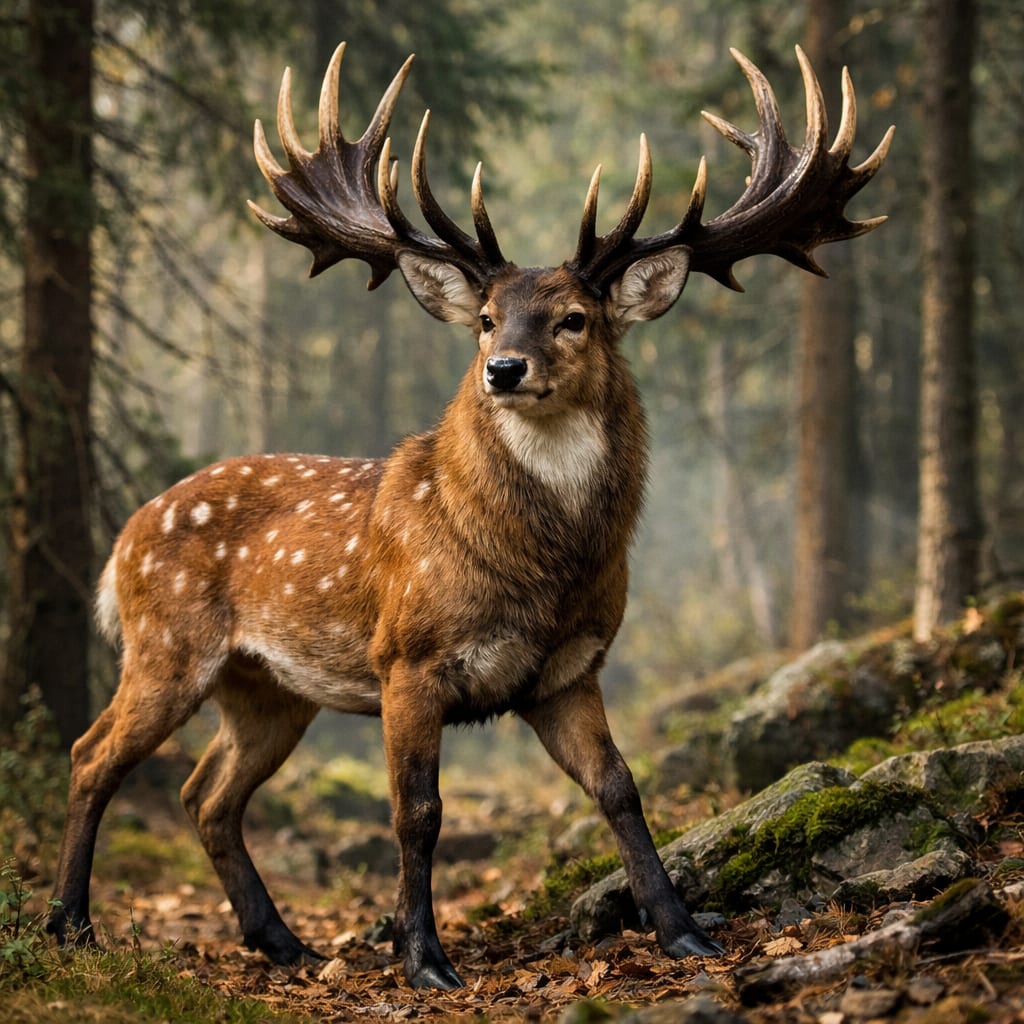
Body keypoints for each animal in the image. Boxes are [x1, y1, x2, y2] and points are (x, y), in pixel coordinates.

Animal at [49, 42, 891, 990]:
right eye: (486, 319)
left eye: (575, 318)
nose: (505, 369)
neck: (541, 572)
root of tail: (124, 538)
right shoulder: (408, 657)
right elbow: (417, 811)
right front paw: (423, 957)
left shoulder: (568, 670)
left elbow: (620, 789)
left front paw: (684, 932)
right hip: (168, 643)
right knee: (92, 755)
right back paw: (70, 924)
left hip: (268, 688)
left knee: (208, 792)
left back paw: (285, 943)